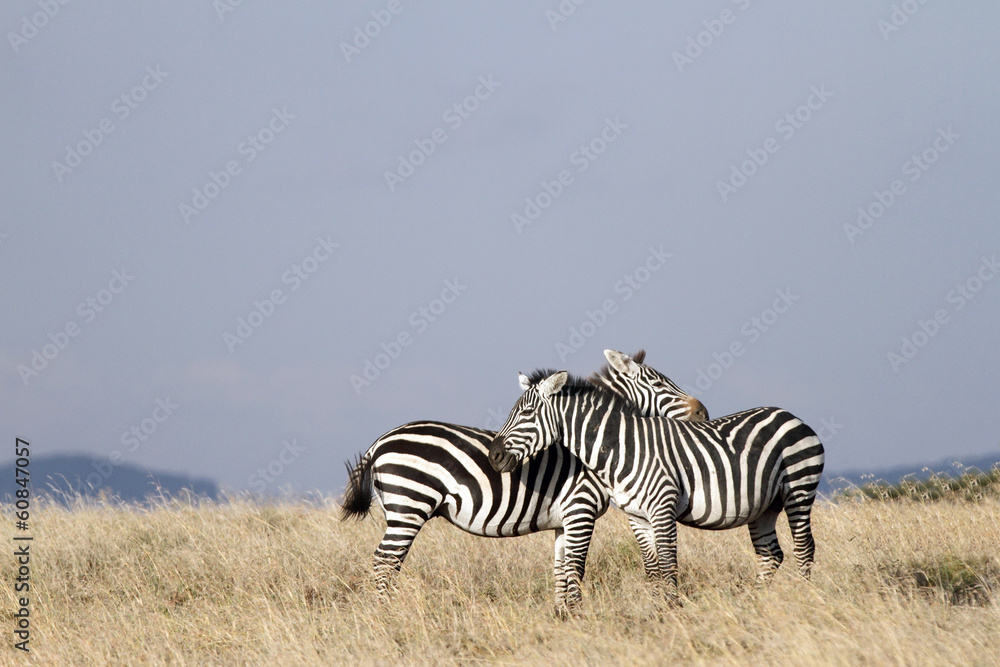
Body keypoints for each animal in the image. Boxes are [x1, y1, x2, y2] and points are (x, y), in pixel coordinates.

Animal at [340, 371, 706, 614]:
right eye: (660, 385)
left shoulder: (564, 520)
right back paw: (385, 612)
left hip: (401, 509)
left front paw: (562, 615)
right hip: (409, 506)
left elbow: (560, 569)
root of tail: (379, 442)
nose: (703, 412)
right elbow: (576, 567)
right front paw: (578, 615)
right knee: (385, 561)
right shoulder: (581, 509)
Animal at [488, 361, 825, 604]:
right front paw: (657, 611)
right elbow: (651, 568)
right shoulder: (636, 516)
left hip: (799, 488)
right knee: (771, 555)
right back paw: (755, 603)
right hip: (764, 506)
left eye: (527, 413)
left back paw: (805, 598)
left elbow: (667, 563)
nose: (494, 455)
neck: (623, 447)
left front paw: (673, 611)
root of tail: (791, 415)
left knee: (804, 547)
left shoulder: (663, 508)